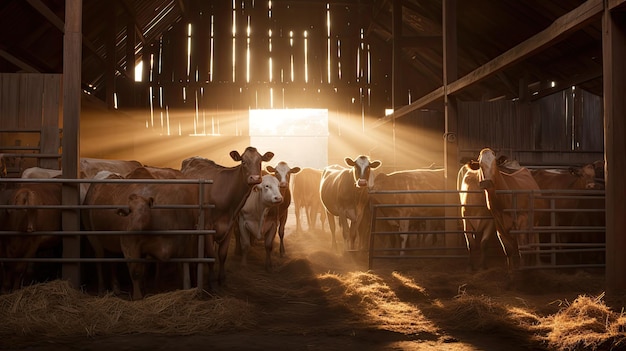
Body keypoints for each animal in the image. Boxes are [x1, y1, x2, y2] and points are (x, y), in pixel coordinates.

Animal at [178, 147, 270, 290]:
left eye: (260, 161)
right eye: (243, 161)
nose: (255, 178)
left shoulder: (229, 225)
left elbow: (222, 254)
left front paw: (222, 279)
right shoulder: (207, 226)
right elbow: (211, 255)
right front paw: (212, 282)